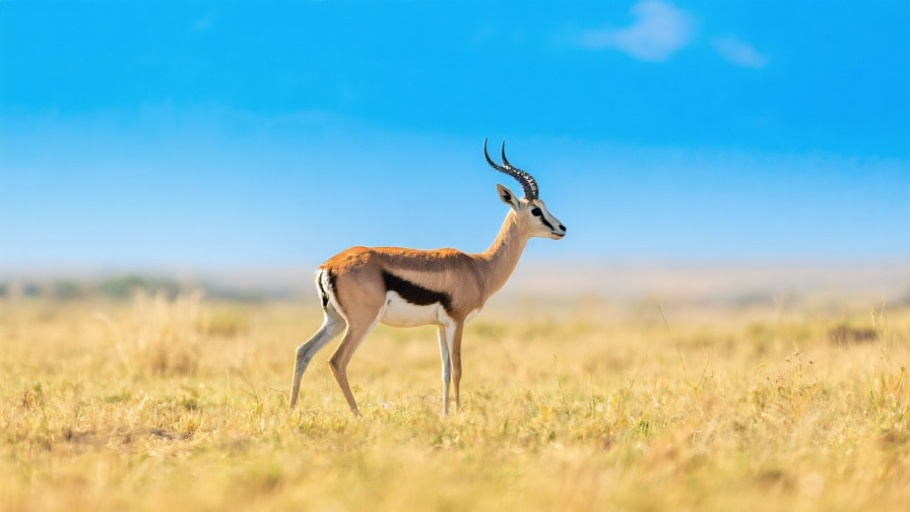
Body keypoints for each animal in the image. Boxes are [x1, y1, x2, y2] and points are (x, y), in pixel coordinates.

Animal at [289, 140, 567, 416]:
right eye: (535, 210)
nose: (562, 228)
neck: (478, 267)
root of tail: (328, 266)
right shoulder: (457, 322)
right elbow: (458, 369)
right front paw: (458, 414)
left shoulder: (440, 326)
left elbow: (444, 371)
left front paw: (445, 414)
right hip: (361, 322)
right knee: (337, 361)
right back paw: (357, 414)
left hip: (335, 320)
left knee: (303, 351)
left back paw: (292, 410)